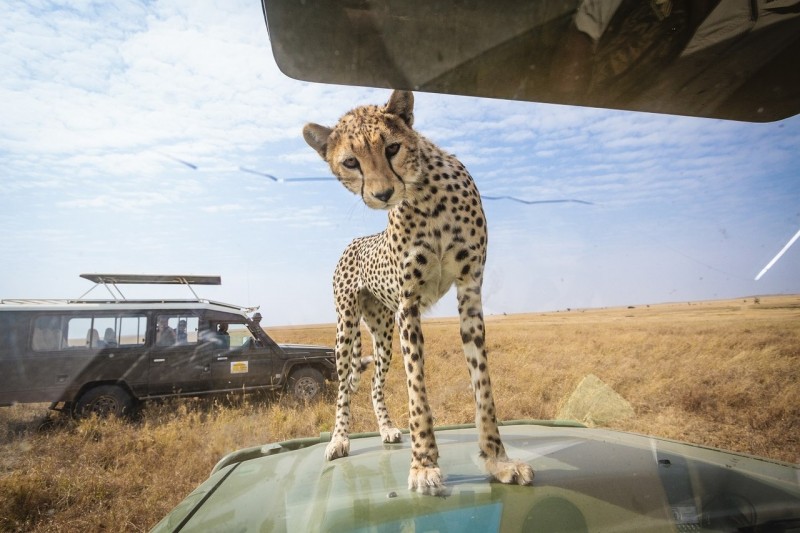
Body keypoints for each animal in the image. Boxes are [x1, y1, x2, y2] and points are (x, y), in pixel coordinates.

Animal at [300, 89, 532, 492]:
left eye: (392, 148)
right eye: (351, 162)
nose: (383, 193)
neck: (426, 197)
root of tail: (354, 242)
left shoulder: (470, 291)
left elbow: (483, 388)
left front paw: (498, 461)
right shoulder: (408, 306)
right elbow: (417, 393)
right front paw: (423, 463)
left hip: (383, 335)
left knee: (375, 383)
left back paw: (386, 429)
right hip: (346, 327)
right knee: (344, 386)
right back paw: (339, 440)